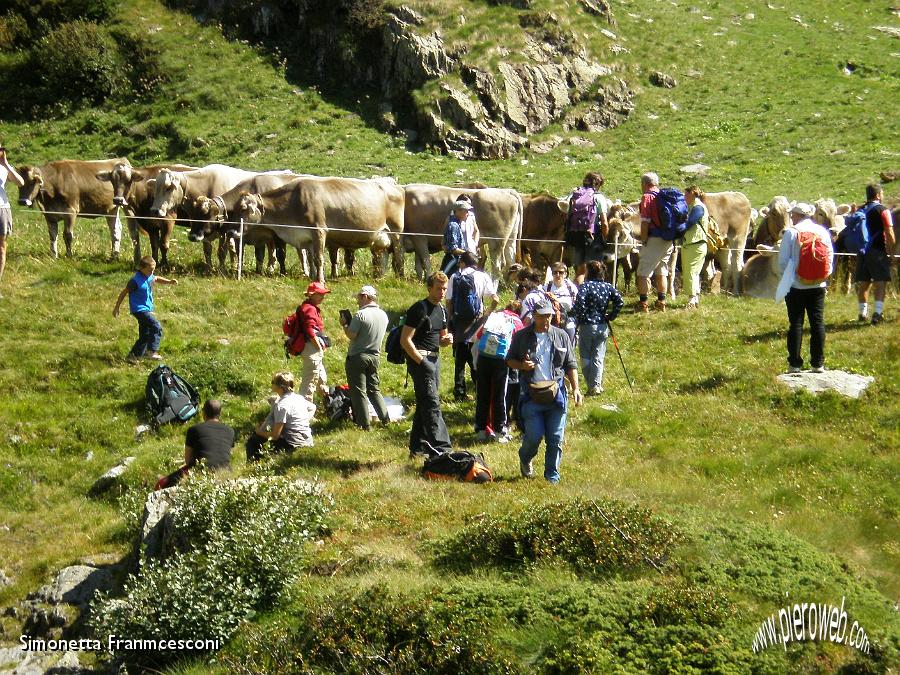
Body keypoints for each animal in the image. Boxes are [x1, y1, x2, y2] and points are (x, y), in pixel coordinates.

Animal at [234, 177, 402, 282]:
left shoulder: (319, 230)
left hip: (396, 231)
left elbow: (319, 258)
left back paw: (401, 276)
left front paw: (320, 280)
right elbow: (310, 258)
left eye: (243, 208)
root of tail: (394, 185)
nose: (232, 231)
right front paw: (312, 277)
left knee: (398, 255)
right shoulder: (307, 238)